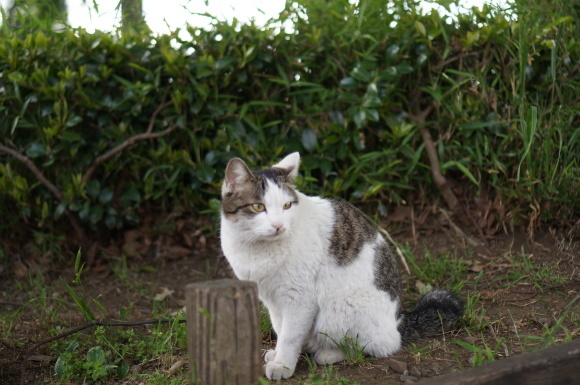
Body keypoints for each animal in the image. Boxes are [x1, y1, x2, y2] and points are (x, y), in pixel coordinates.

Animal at [219, 152, 462, 378]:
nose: (279, 225)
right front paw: (279, 355)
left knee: (379, 345)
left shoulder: (299, 298)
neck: (257, 249)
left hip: (336, 308)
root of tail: (397, 320)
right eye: (258, 206)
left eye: (286, 205)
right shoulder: (271, 299)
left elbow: (289, 335)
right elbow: (281, 328)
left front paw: (283, 365)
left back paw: (329, 353)